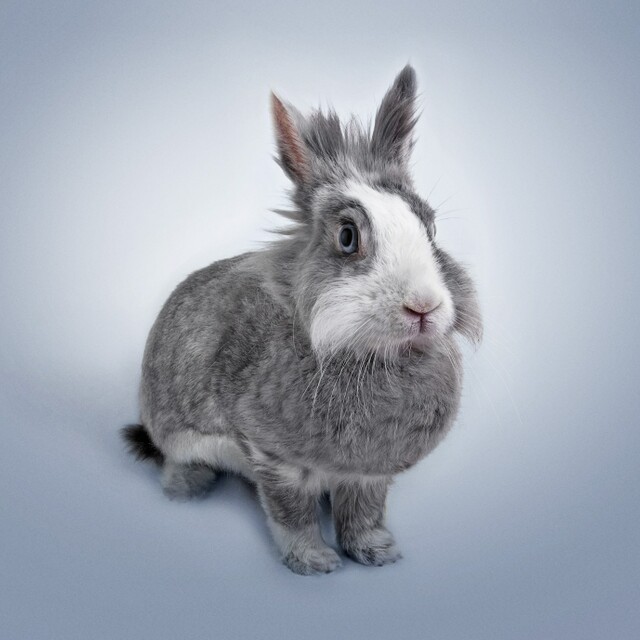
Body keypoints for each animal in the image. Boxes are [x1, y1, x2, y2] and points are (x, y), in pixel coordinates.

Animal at [121, 64, 482, 575]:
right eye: (347, 237)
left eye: (430, 228)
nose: (424, 307)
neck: (368, 355)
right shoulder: (274, 460)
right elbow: (291, 514)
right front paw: (315, 562)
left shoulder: (367, 474)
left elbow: (364, 513)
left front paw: (377, 553)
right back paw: (188, 490)